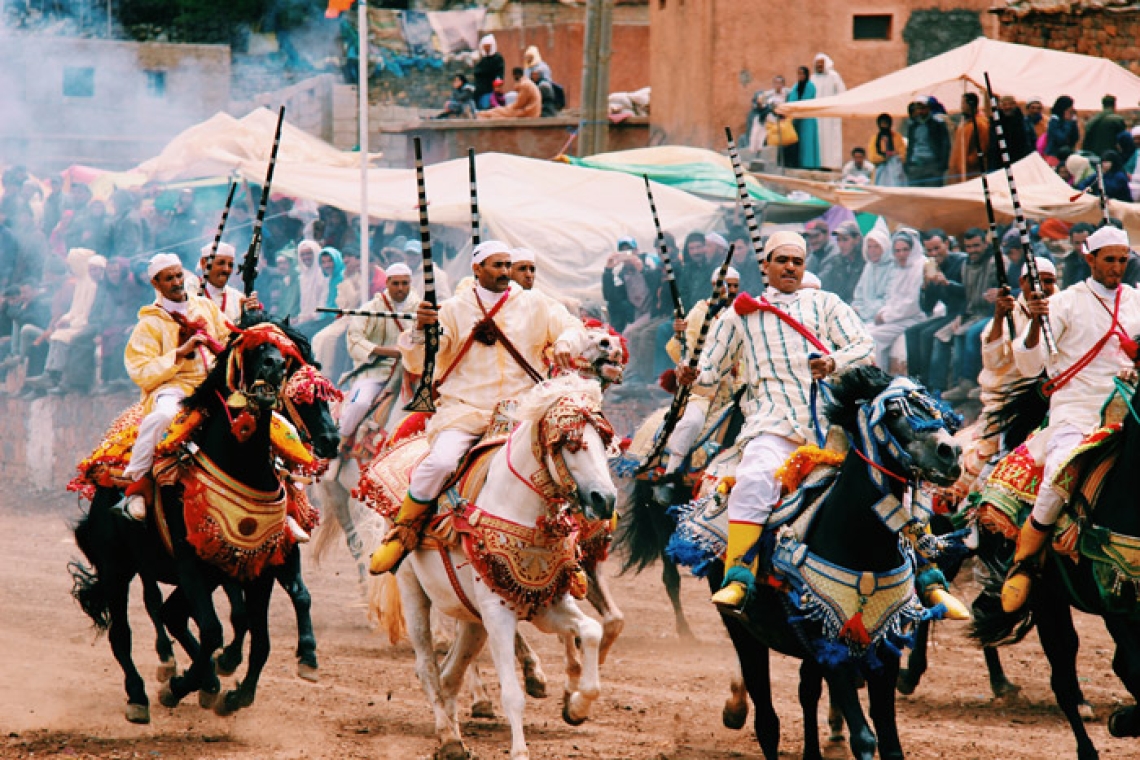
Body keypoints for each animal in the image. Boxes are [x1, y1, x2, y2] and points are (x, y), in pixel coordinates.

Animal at [399, 376, 620, 760]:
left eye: (603, 442)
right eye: (572, 444)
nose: (605, 500)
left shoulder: (546, 604)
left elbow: (591, 630)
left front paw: (577, 707)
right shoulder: (498, 612)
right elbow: (513, 695)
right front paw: (520, 750)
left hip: (472, 617)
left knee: (451, 673)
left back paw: (454, 738)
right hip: (413, 591)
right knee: (427, 668)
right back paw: (450, 738)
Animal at [720, 369, 962, 760]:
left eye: (934, 408)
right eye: (894, 412)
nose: (951, 452)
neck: (860, 545)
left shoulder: (883, 648)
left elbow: (890, 742)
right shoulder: (832, 650)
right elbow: (863, 737)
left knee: (806, 692)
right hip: (743, 630)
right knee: (767, 720)